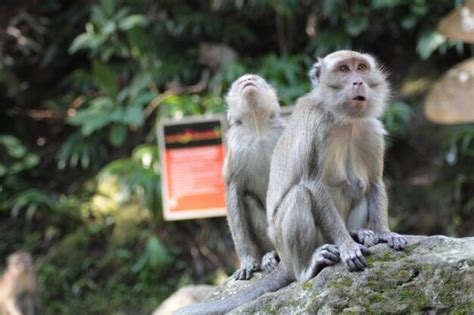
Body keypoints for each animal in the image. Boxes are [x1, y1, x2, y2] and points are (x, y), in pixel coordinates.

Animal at [223, 74, 286, 282]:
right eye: (240, 82)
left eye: (254, 78)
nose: (247, 80)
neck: (257, 127)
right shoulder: (235, 147)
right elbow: (234, 191)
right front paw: (246, 261)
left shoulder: (283, 131)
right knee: (248, 199)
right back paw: (269, 254)